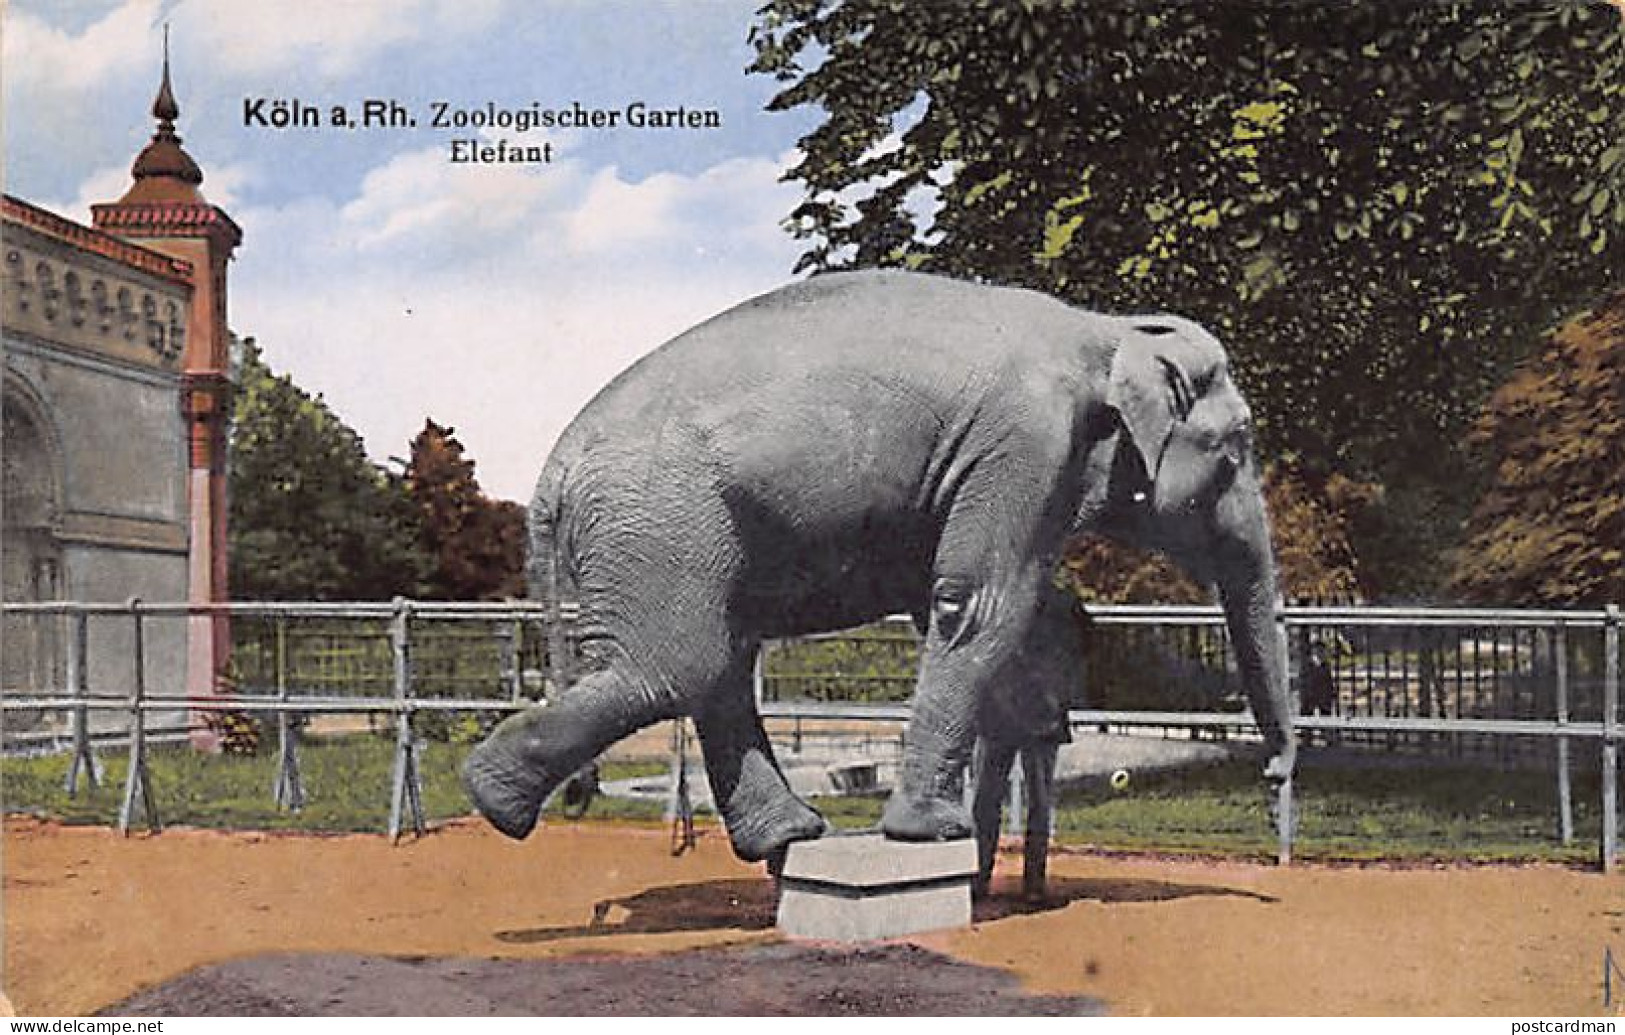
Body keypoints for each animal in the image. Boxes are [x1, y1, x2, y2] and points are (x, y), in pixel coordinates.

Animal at [461, 268, 1293, 864]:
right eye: (1236, 449)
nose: (1271, 779)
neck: (1109, 326)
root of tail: (551, 472)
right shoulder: (1024, 443)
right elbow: (978, 602)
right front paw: (932, 831)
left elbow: (948, 601)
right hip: (662, 521)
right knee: (671, 666)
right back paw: (495, 801)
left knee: (712, 664)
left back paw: (791, 836)